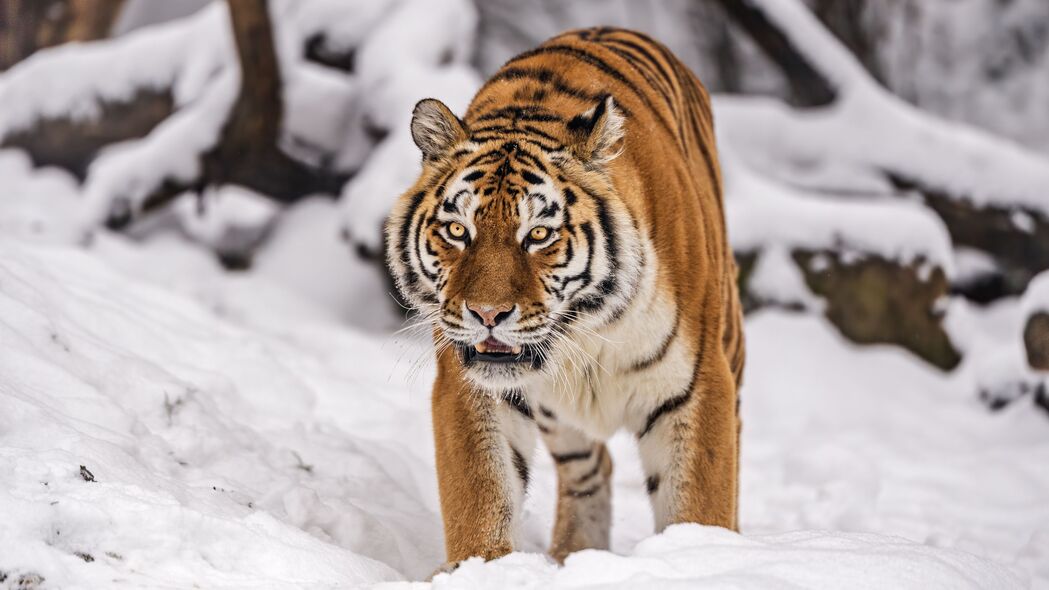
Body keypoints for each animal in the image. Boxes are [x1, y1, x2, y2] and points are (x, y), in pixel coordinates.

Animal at [386, 25, 746, 566]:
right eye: (457, 230)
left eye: (538, 235)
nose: (486, 313)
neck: (589, 327)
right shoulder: (470, 385)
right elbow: (481, 494)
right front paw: (485, 567)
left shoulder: (697, 385)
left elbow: (700, 501)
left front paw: (703, 557)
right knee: (591, 467)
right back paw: (573, 556)